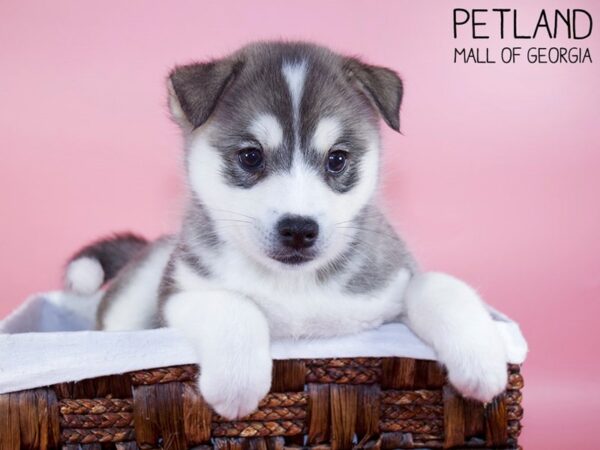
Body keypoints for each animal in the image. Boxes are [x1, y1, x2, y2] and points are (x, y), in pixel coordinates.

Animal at [64, 41, 506, 418]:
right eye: (250, 156)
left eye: (337, 159)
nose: (298, 229)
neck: (293, 285)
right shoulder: (178, 296)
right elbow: (234, 305)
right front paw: (237, 382)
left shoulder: (389, 285)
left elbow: (436, 284)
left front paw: (482, 358)